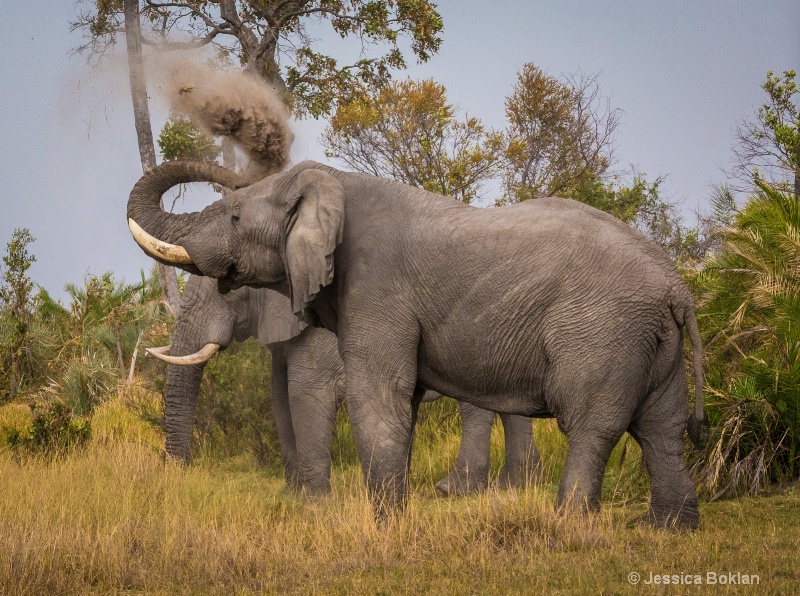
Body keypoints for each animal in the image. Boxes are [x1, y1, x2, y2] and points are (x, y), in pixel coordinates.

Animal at [148, 272, 540, 496]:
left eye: (227, 292)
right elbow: (280, 401)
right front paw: (294, 498)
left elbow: (305, 396)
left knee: (475, 406)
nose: (178, 477)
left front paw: (316, 504)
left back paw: (454, 490)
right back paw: (516, 487)